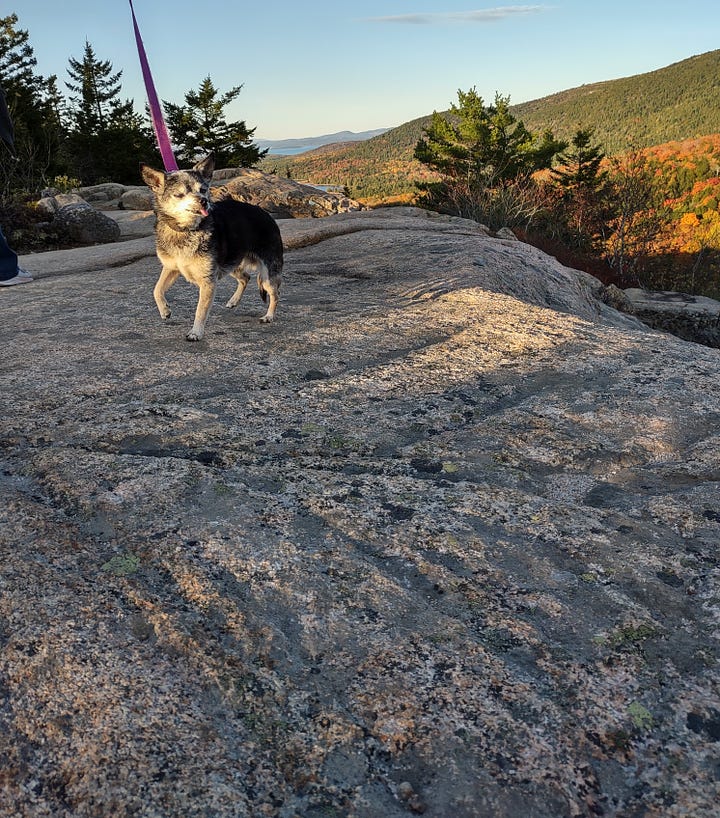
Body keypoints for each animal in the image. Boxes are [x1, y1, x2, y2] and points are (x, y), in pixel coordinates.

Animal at [141, 153, 284, 342]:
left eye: (203, 190)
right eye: (179, 194)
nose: (204, 201)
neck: (186, 230)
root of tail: (268, 216)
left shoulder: (208, 281)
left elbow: (200, 311)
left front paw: (196, 332)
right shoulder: (171, 268)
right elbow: (156, 289)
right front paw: (165, 310)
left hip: (266, 274)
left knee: (275, 294)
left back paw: (269, 316)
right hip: (230, 264)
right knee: (245, 277)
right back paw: (233, 301)